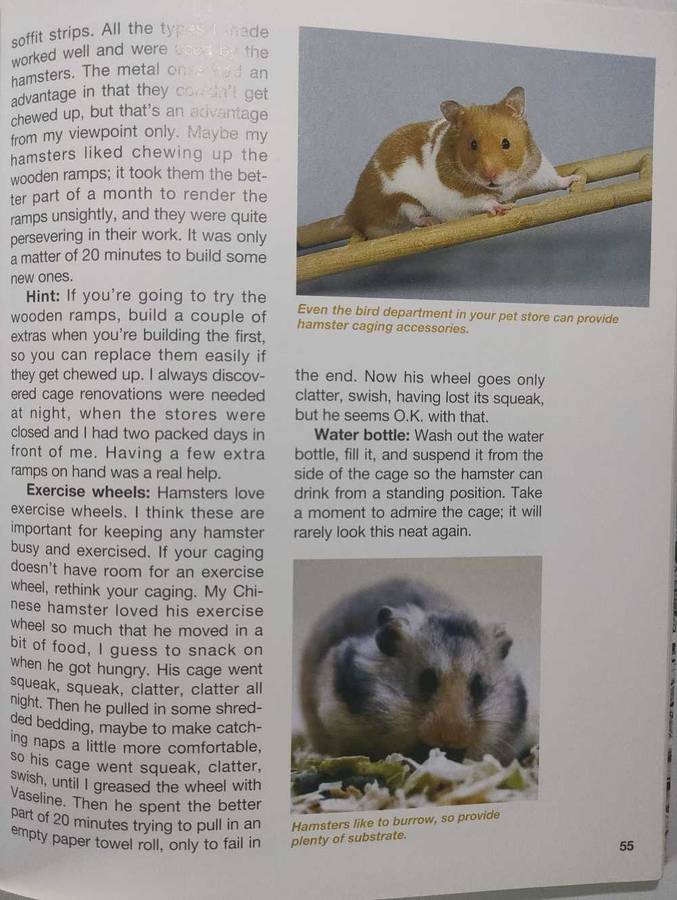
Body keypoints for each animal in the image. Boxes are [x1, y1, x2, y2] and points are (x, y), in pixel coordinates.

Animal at [343, 86, 578, 239]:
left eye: (506, 143)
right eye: (472, 144)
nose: (491, 176)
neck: (500, 187)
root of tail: (353, 211)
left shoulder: (535, 169)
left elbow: (552, 179)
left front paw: (573, 178)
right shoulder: (458, 196)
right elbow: (481, 201)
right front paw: (500, 207)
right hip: (400, 201)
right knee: (414, 216)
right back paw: (429, 221)